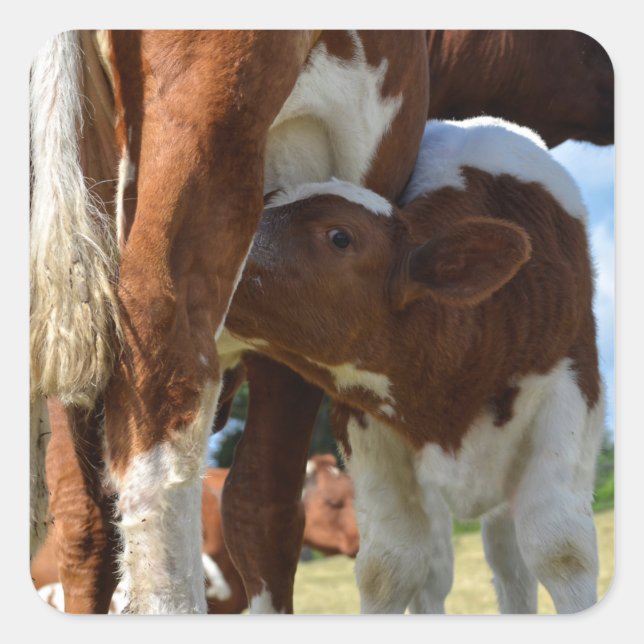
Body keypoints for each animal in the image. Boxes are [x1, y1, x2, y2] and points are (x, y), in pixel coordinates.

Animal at [224, 116, 604, 614]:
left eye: (340, 236)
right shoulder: (363, 425)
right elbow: (390, 566)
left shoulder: (572, 392)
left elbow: (560, 548)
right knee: (440, 573)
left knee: (509, 562)